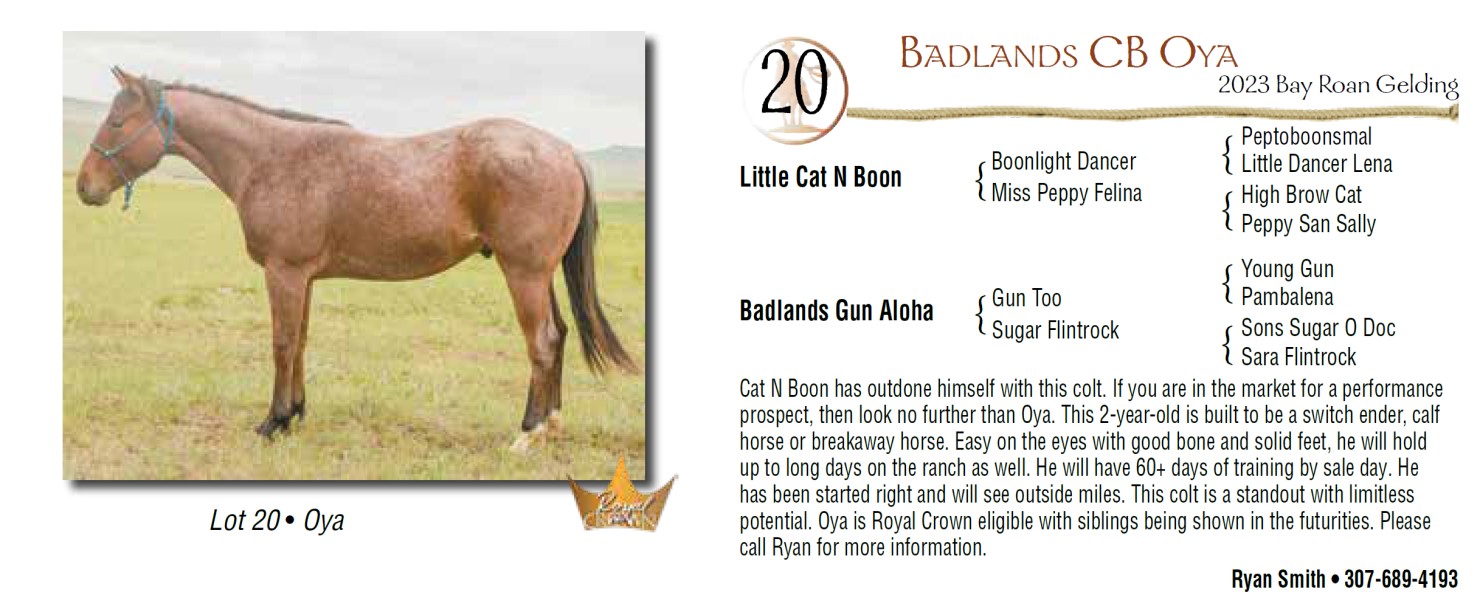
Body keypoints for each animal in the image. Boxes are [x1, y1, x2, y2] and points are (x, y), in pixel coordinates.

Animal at [74, 66, 637, 451]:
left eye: (117, 121)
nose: (85, 187)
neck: (270, 157)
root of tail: (566, 151)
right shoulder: (303, 277)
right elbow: (300, 342)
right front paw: (296, 414)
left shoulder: (284, 272)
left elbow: (281, 344)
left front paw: (272, 422)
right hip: (539, 274)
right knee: (558, 335)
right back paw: (551, 424)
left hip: (523, 273)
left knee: (541, 343)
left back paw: (528, 433)